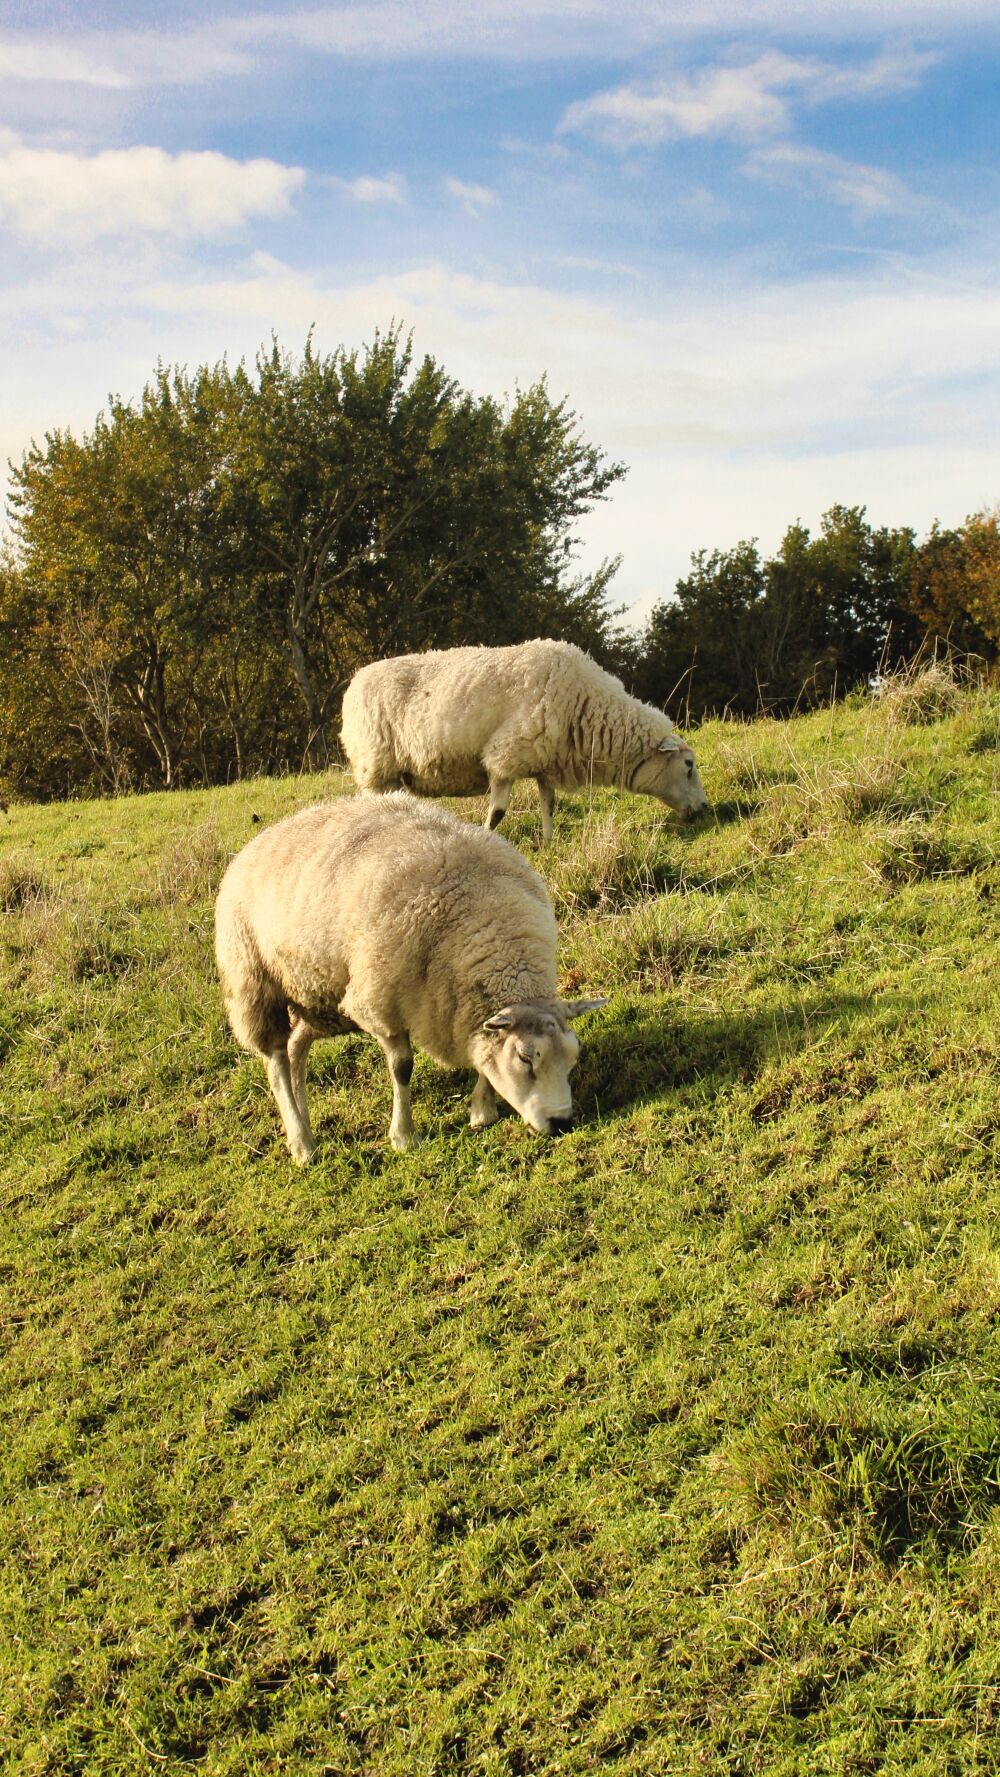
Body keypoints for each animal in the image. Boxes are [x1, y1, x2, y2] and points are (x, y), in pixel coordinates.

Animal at [214, 796, 607, 1165]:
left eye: (573, 1055)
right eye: (525, 1058)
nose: (562, 1122)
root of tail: (253, 846)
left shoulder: (463, 1010)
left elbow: (481, 1052)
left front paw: (482, 1110)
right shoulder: (381, 1005)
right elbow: (402, 1068)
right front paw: (403, 1136)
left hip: (319, 996)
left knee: (296, 1049)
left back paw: (305, 1125)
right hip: (255, 984)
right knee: (276, 1063)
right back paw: (302, 1144)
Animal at [341, 632, 706, 838]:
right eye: (688, 765)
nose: (703, 807)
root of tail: (354, 681)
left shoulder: (544, 761)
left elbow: (549, 806)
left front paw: (548, 844)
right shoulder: (504, 756)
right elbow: (498, 813)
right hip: (375, 766)